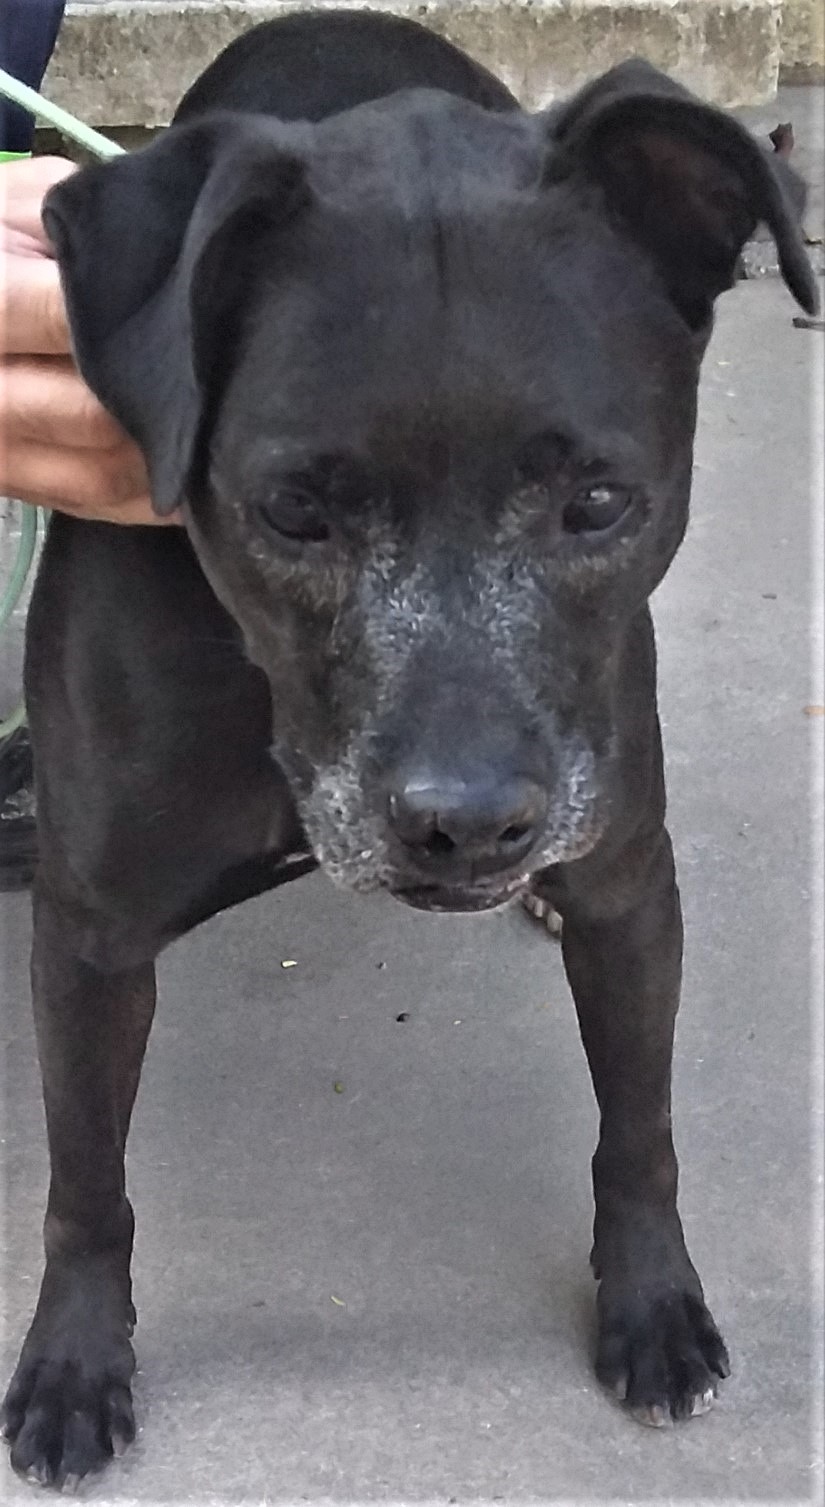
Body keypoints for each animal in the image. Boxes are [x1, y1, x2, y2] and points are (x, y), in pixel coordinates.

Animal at [0, 11, 814, 1488]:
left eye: (597, 499)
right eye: (291, 509)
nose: (470, 822)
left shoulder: (632, 884)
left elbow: (642, 1128)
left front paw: (653, 1300)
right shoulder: (90, 941)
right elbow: (87, 1183)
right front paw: (76, 1360)